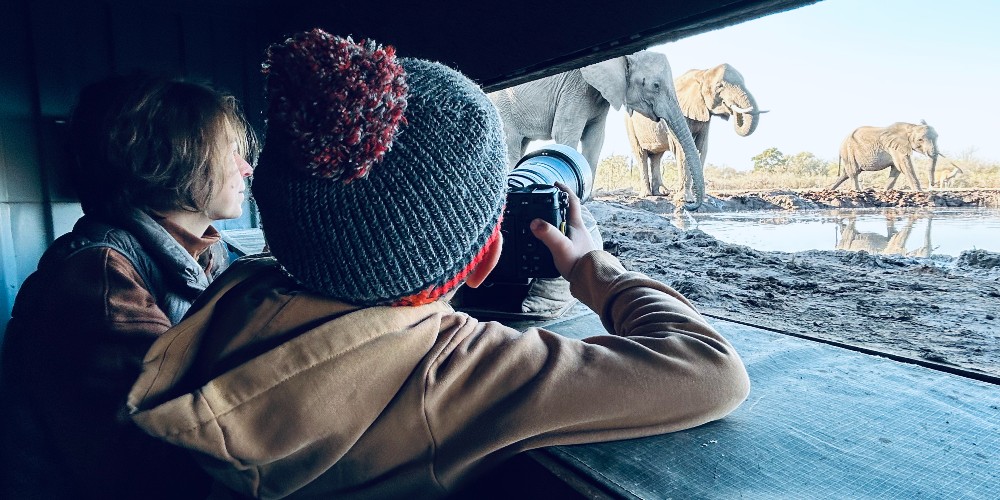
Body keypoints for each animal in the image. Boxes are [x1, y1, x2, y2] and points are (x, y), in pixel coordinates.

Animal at [490, 52, 708, 211]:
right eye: (655, 86)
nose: (689, 207)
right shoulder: (575, 87)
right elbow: (566, 130)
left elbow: (595, 139)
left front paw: (587, 198)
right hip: (503, 107)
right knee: (512, 145)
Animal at [624, 63, 764, 200]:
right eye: (719, 86)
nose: (732, 109)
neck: (703, 73)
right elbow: (683, 148)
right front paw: (685, 198)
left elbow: (701, 147)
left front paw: (698, 196)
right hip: (629, 125)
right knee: (641, 154)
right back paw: (647, 195)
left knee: (656, 156)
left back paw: (661, 192)